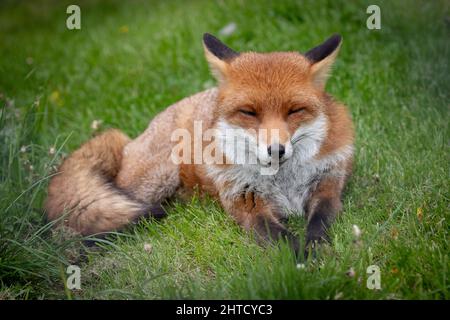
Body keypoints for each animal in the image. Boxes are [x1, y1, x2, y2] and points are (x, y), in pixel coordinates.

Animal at [45, 33, 356, 255]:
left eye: (294, 111)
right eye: (249, 112)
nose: (276, 150)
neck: (283, 181)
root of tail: (132, 139)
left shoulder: (328, 185)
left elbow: (319, 223)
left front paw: (316, 250)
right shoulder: (245, 201)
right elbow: (276, 235)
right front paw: (299, 259)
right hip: (156, 179)